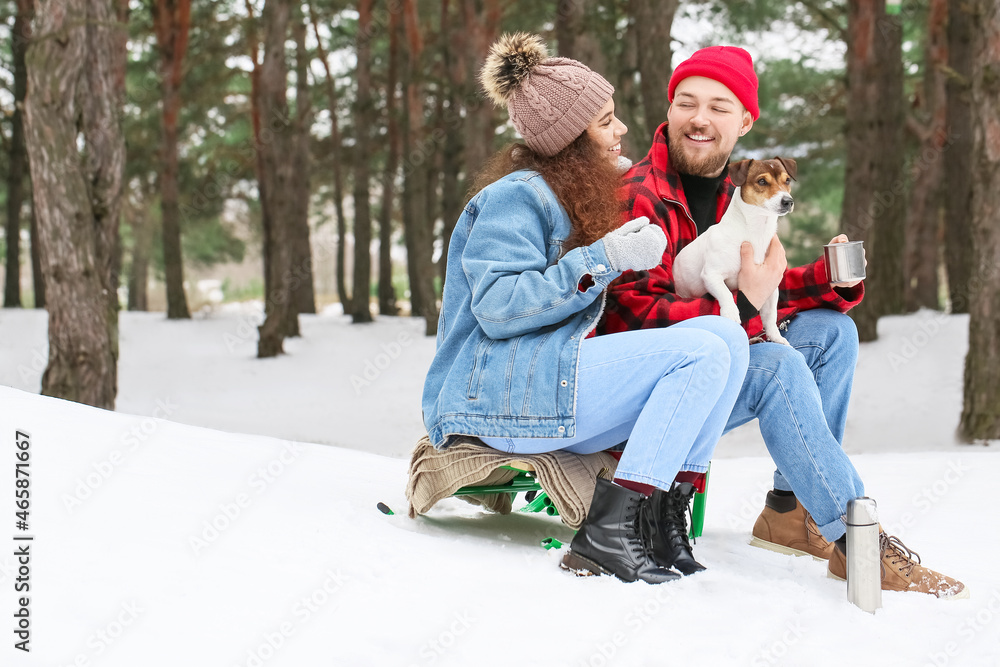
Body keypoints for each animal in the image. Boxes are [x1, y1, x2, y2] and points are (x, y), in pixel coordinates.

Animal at [672, 157, 796, 344]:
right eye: (762, 181)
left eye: (787, 180)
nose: (787, 201)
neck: (756, 232)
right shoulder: (712, 275)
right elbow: (726, 293)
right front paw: (730, 312)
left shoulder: (771, 288)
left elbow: (770, 316)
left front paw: (776, 337)